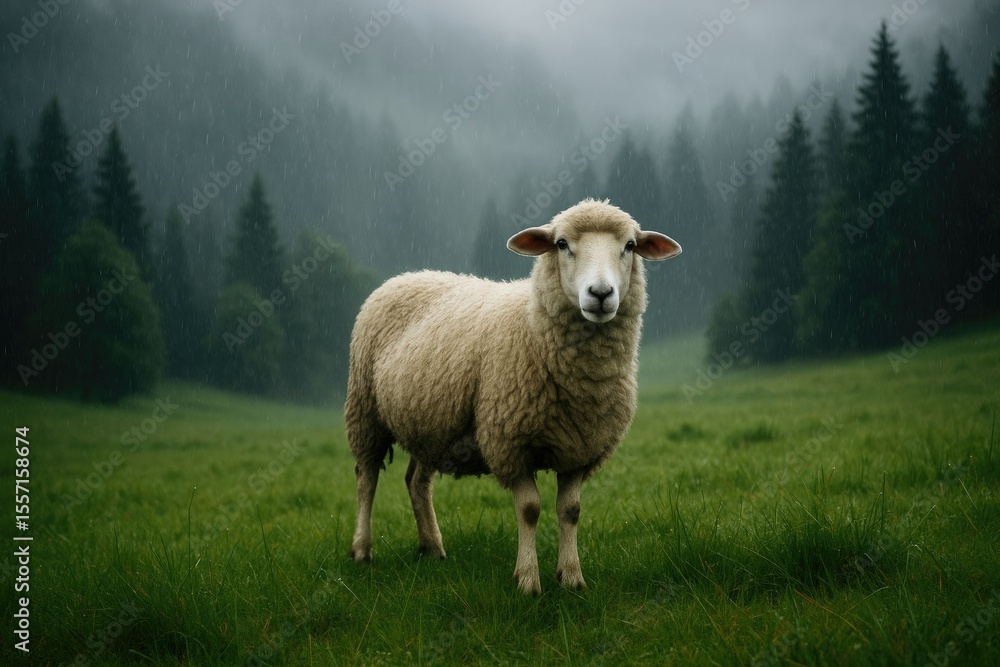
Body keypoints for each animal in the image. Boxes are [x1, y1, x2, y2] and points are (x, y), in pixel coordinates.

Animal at [344, 198, 681, 594]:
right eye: (561, 244)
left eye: (629, 246)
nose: (600, 294)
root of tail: (407, 275)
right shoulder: (510, 442)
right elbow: (529, 510)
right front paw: (528, 581)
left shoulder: (580, 447)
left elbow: (571, 511)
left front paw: (572, 579)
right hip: (365, 410)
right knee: (366, 477)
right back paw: (362, 549)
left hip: (432, 424)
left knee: (416, 482)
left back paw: (433, 548)